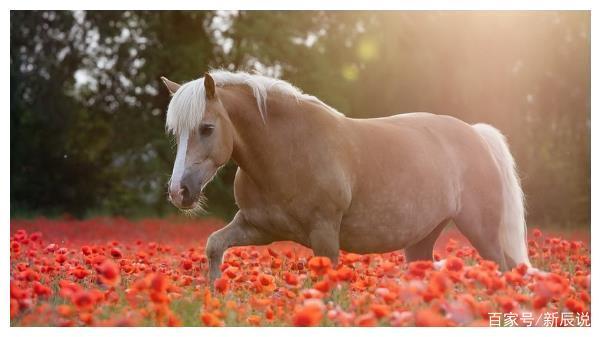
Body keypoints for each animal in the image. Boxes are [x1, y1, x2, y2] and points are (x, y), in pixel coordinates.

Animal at [159, 70, 528, 284]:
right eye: (176, 132)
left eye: (207, 128)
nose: (179, 192)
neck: (288, 150)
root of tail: (476, 134)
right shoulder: (257, 228)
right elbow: (213, 246)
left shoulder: (324, 235)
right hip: (422, 240)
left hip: (481, 231)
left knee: (502, 268)